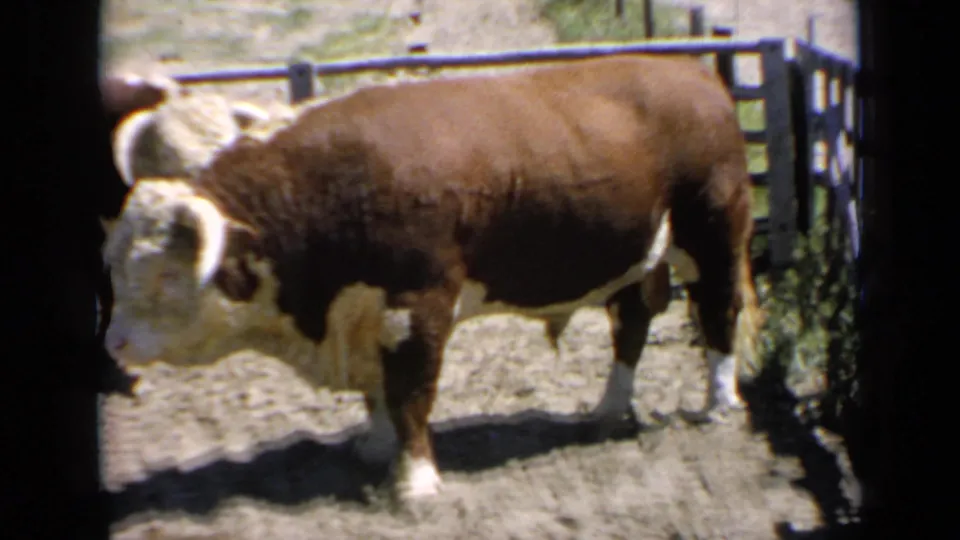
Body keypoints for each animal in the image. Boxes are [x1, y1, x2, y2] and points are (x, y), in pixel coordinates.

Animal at [102, 54, 764, 502]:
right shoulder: (362, 314)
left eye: (164, 277)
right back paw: (607, 408)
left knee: (718, 314)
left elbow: (411, 396)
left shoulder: (415, 308)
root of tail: (693, 72)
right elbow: (376, 393)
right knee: (630, 325)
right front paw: (373, 448)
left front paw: (415, 483)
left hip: (711, 234)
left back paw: (717, 404)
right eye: (117, 265)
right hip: (633, 254)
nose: (115, 342)